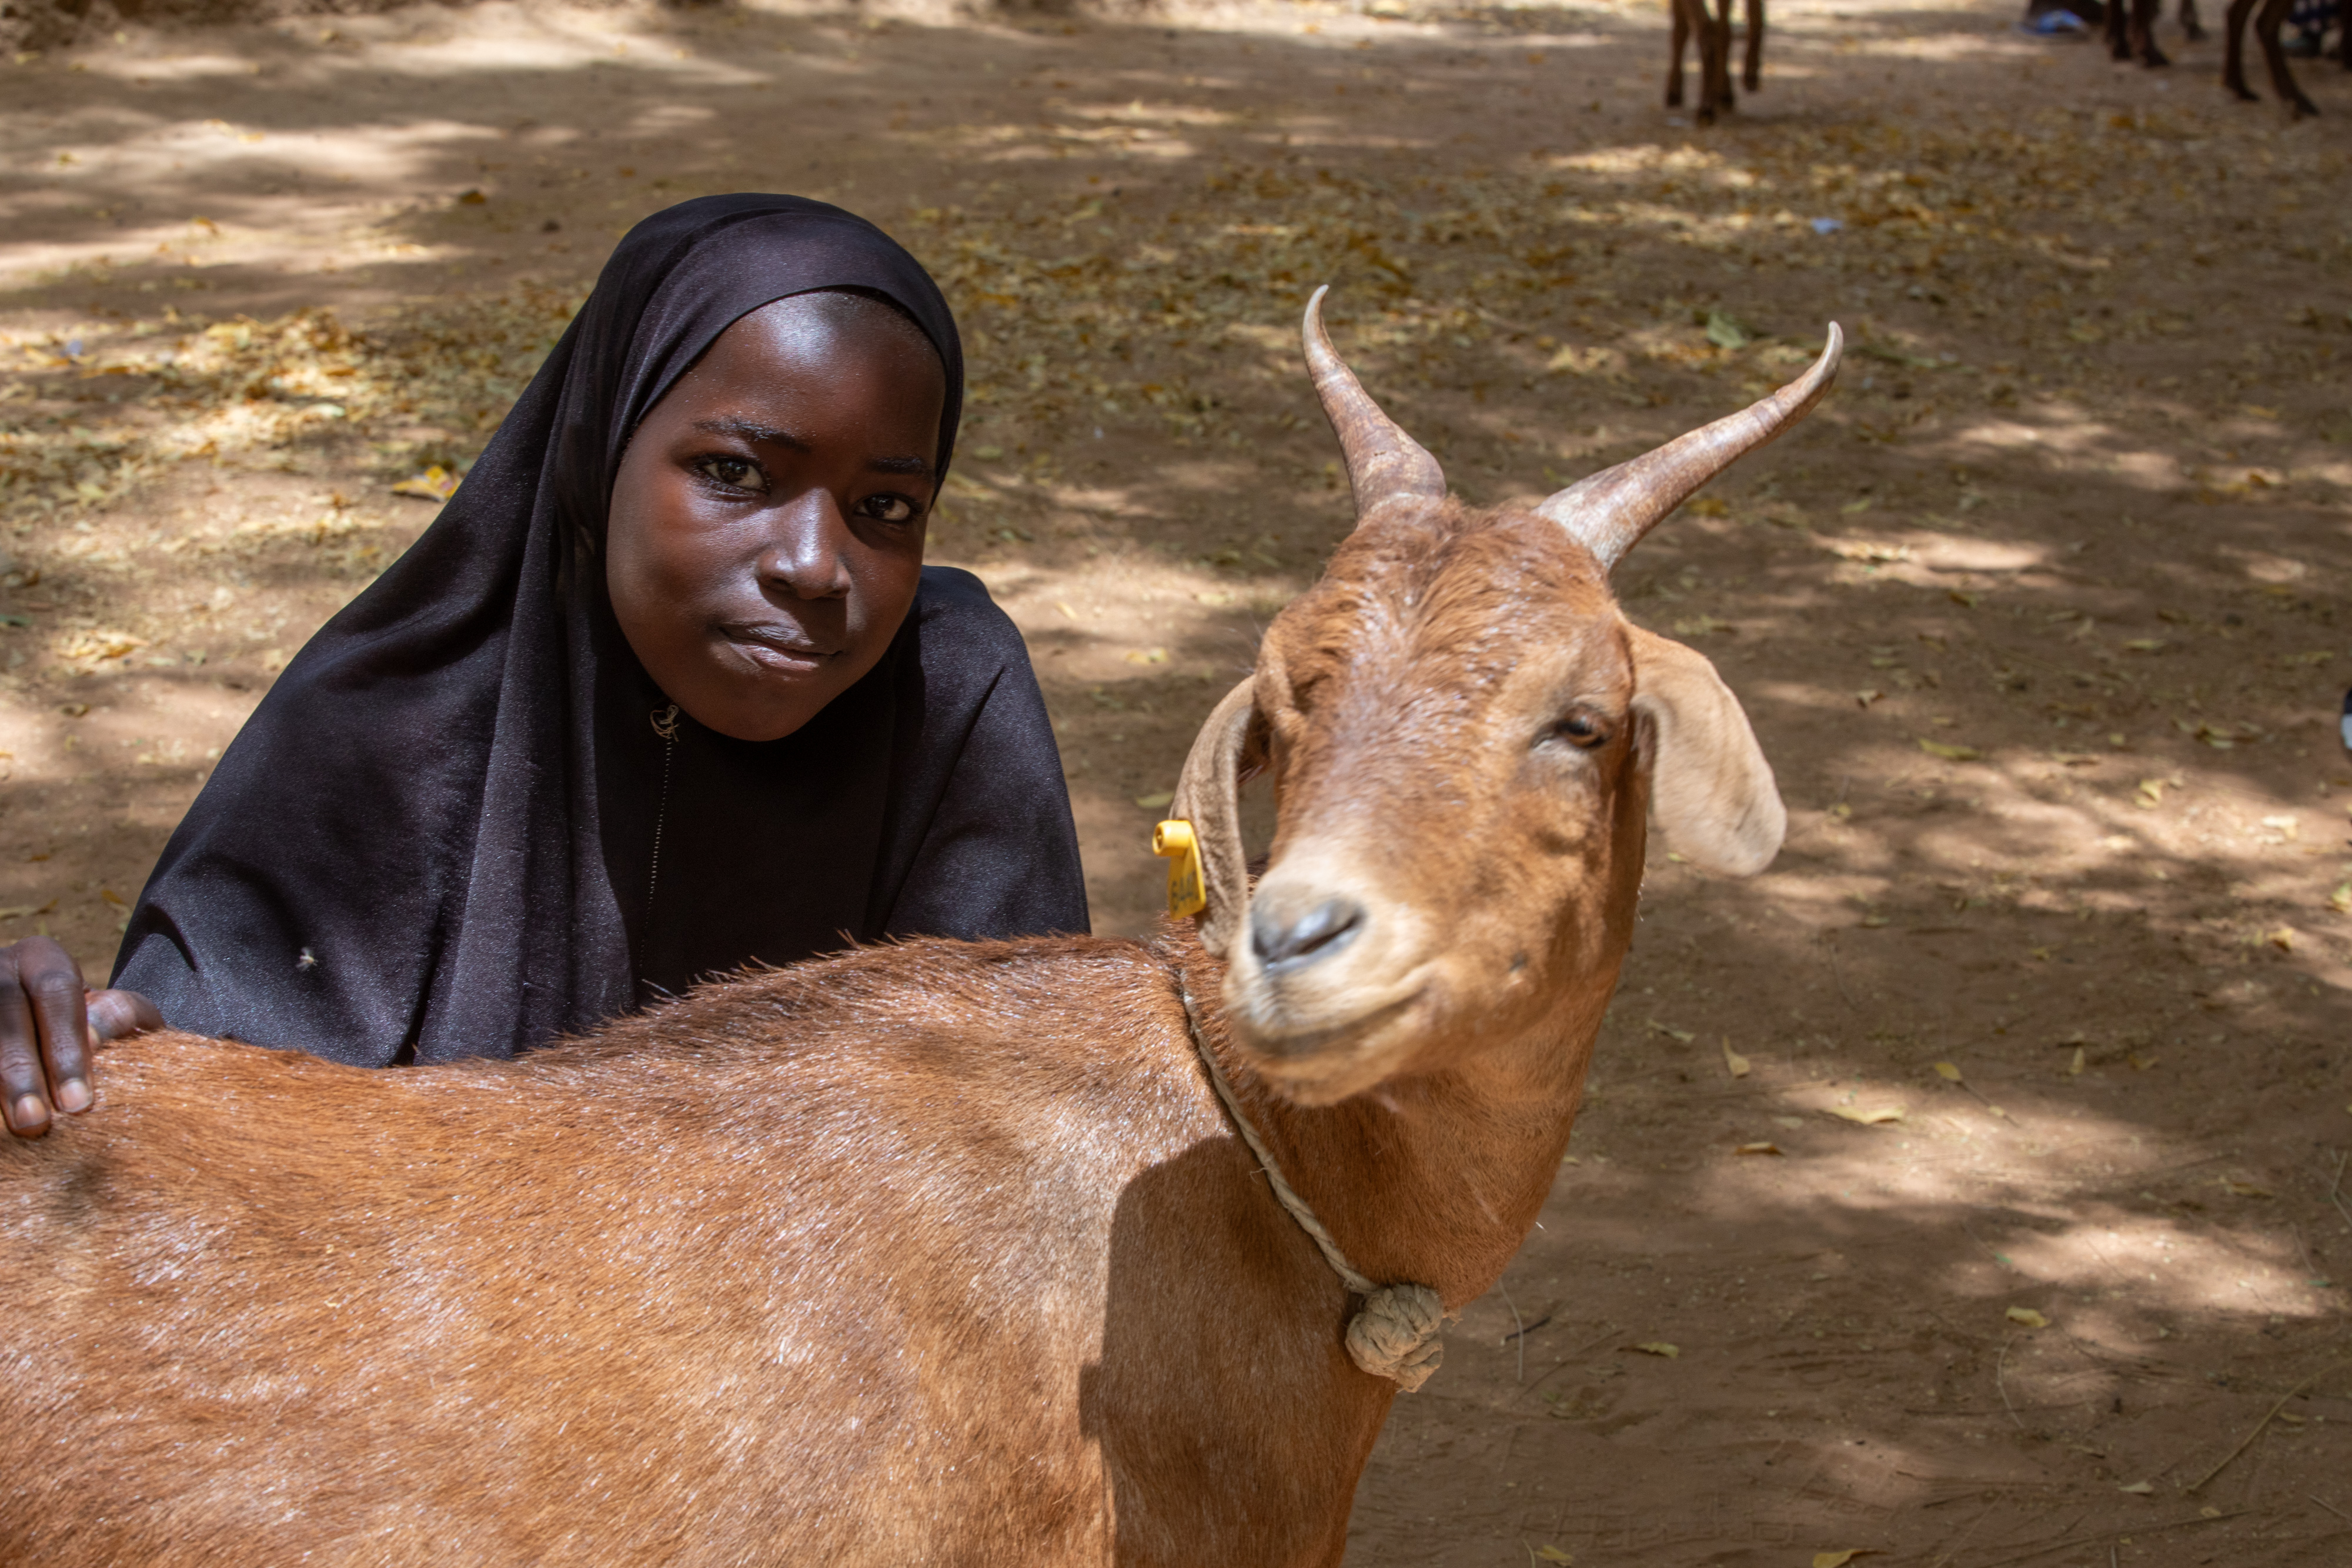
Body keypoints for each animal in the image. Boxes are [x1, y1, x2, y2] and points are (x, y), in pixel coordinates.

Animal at [1667, 0, 1765, 126]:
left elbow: (1681, 29)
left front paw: (1674, 94)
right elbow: (1723, 32)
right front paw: (1724, 93)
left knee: (1707, 31)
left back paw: (1706, 110)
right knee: (1724, 30)